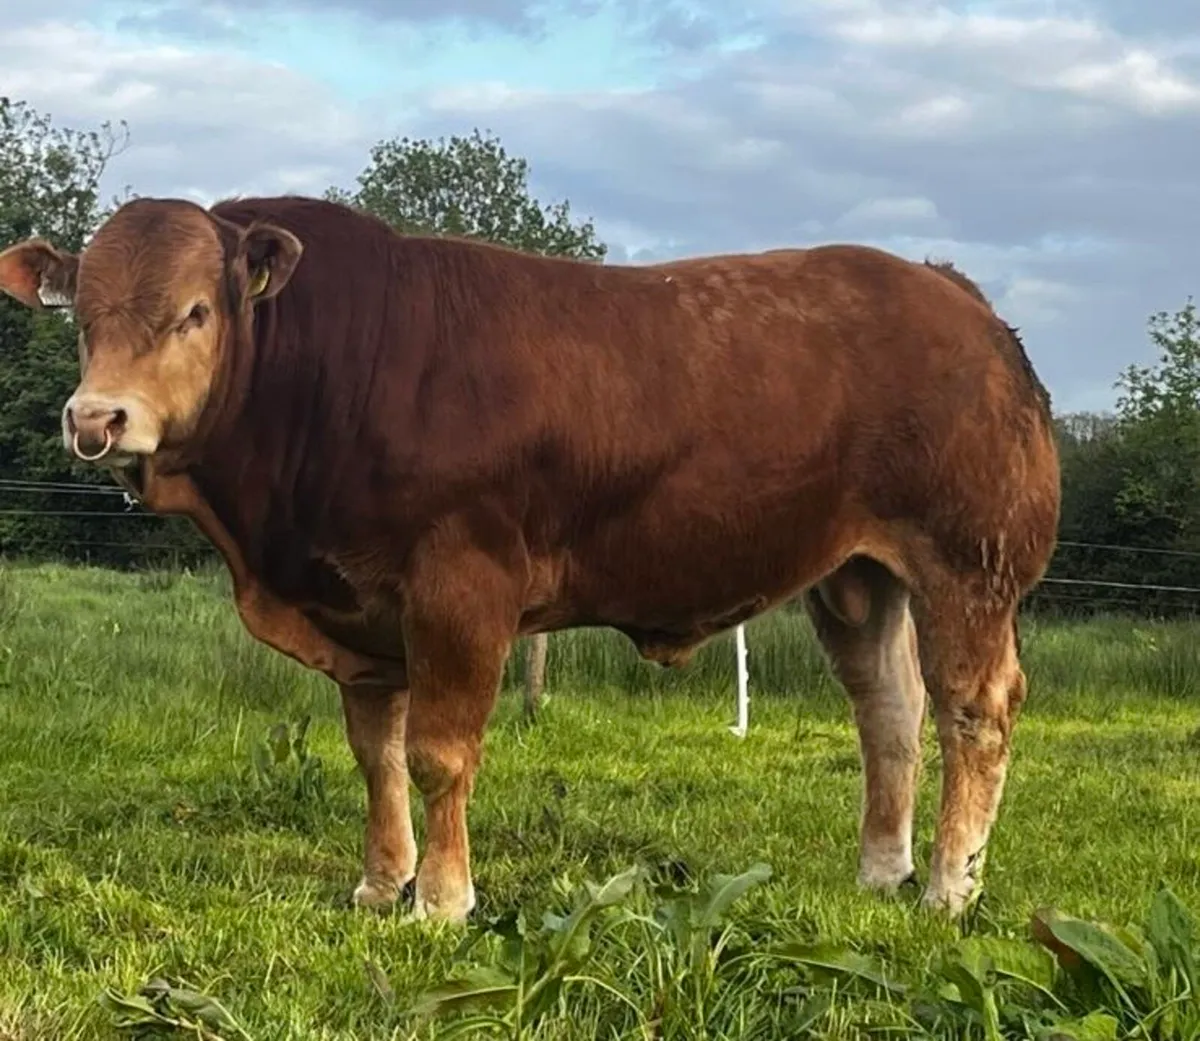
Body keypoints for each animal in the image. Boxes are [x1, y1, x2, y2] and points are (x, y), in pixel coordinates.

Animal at [0, 194, 1060, 923]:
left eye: (195, 313)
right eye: (81, 315)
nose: (96, 418)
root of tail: (952, 292)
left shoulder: (460, 587)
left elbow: (437, 754)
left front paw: (441, 899)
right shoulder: (361, 611)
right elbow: (376, 754)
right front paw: (380, 884)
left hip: (969, 560)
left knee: (974, 709)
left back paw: (950, 887)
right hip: (857, 575)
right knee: (889, 710)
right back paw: (884, 870)